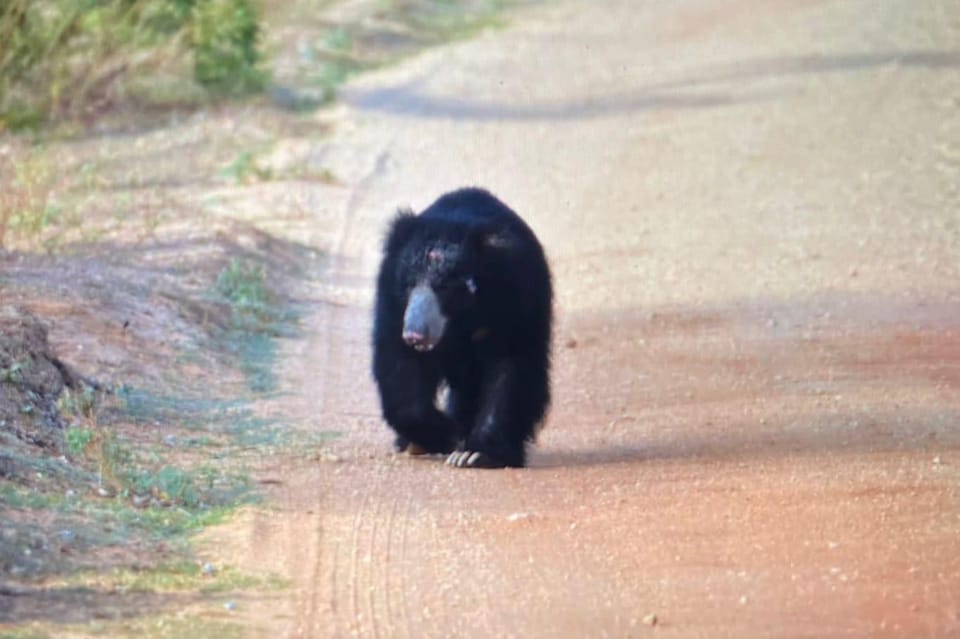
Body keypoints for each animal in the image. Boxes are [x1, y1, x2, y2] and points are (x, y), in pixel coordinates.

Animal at [372, 188, 552, 468]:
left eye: (445, 288)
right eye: (409, 284)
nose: (414, 335)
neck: (461, 321)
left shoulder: (518, 295)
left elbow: (511, 368)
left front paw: (475, 453)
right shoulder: (392, 299)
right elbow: (399, 366)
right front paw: (446, 435)